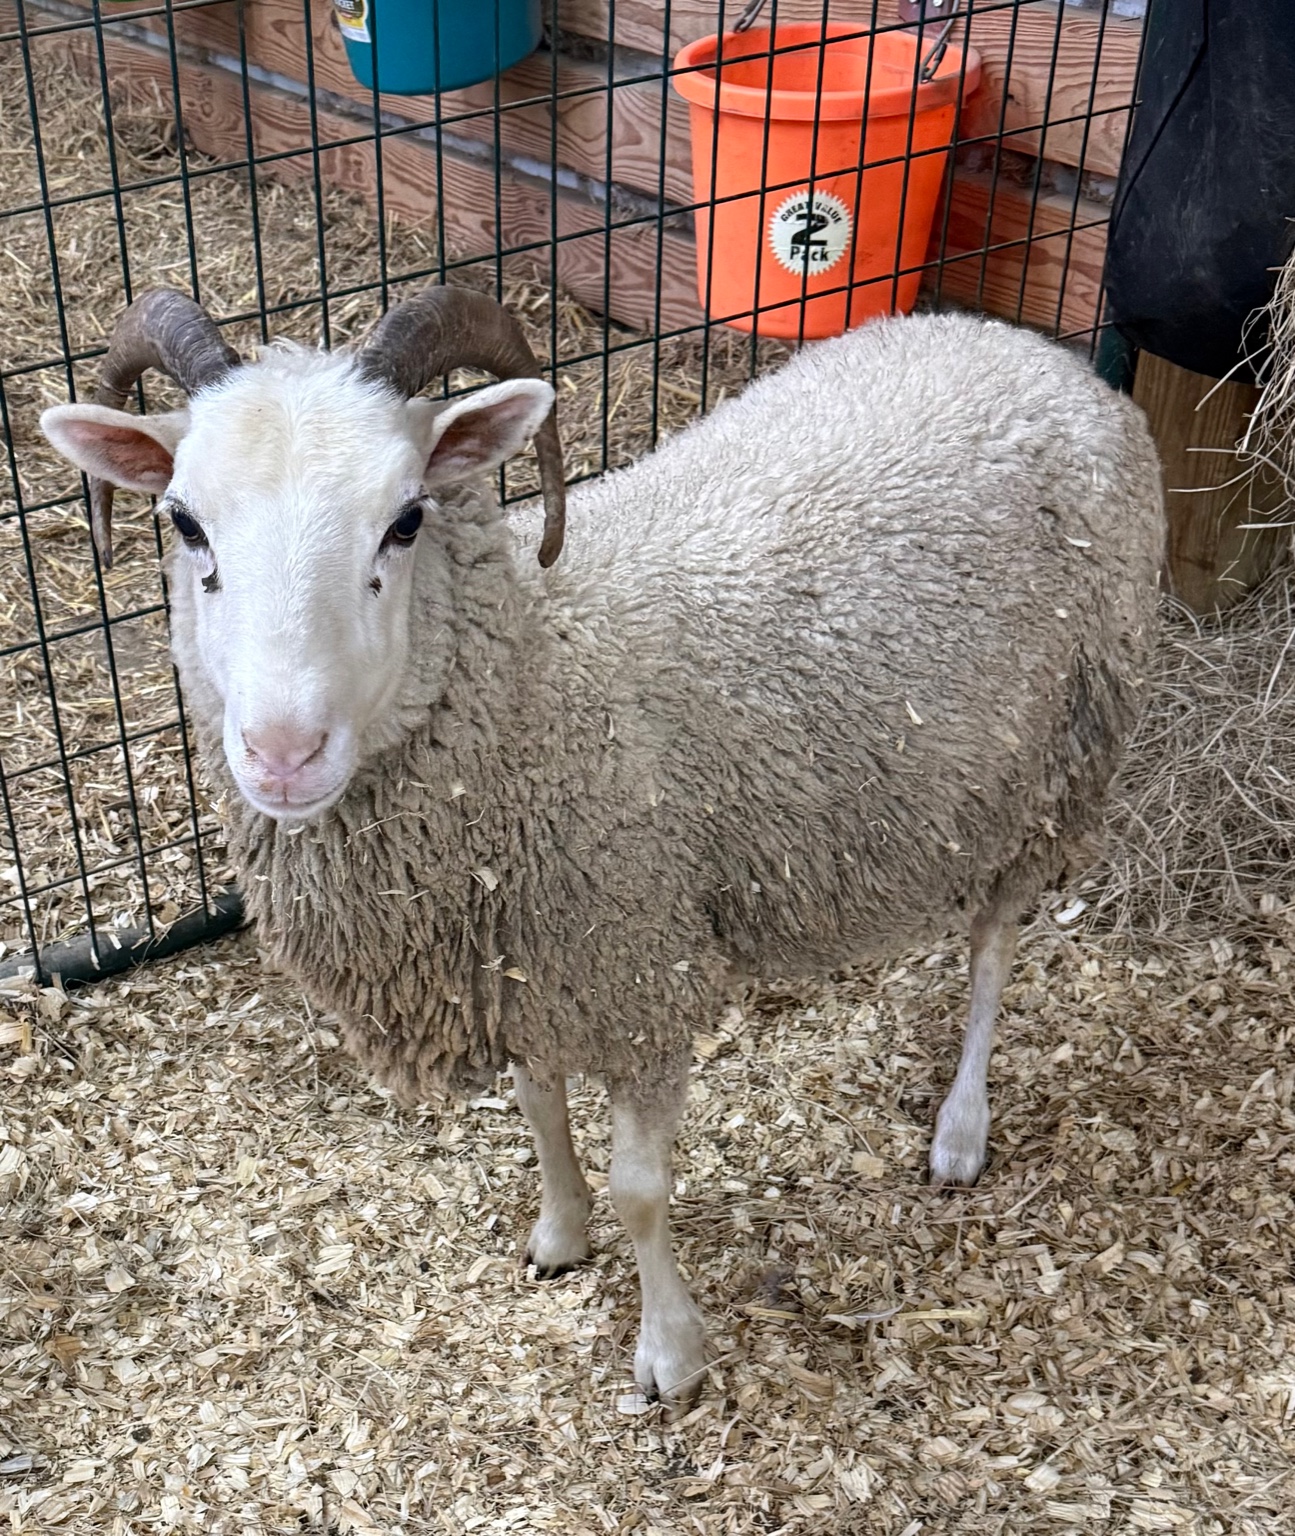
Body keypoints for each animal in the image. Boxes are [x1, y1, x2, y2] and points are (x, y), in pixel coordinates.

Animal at [41, 286, 1164, 1407]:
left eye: (405, 520)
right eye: (184, 523)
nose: (282, 754)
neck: (540, 675)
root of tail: (1024, 349)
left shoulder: (640, 972)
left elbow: (641, 1190)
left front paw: (668, 1350)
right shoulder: (523, 965)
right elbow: (538, 1111)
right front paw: (558, 1234)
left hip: (1066, 754)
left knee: (994, 945)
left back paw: (960, 1129)